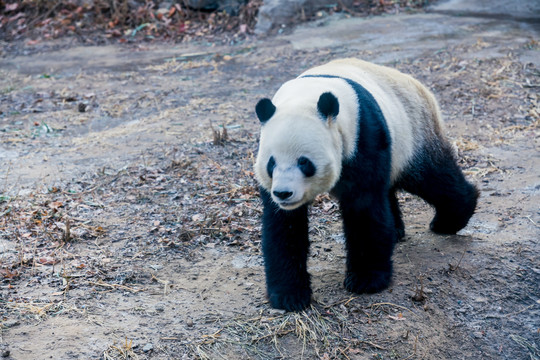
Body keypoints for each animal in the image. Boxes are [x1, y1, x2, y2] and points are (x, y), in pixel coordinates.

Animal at [253, 57, 476, 310]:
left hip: (413, 131)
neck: (307, 96)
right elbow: (283, 226)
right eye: (271, 163)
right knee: (390, 189)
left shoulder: (363, 135)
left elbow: (364, 207)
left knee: (434, 178)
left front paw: (365, 280)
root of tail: (421, 88)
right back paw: (397, 230)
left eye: (304, 162)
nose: (283, 193)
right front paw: (289, 295)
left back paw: (449, 220)